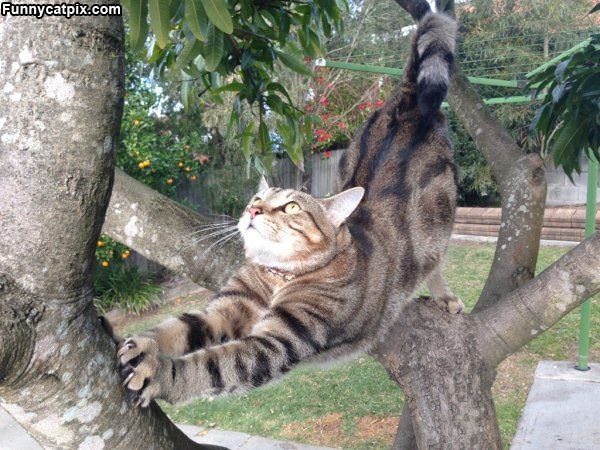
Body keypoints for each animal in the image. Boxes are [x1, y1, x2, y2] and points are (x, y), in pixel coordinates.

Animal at [113, 8, 460, 408]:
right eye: (257, 199)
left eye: (291, 207)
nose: (253, 212)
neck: (277, 275)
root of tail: (409, 99)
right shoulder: (227, 307)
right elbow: (181, 325)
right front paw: (146, 343)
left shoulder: (276, 342)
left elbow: (211, 366)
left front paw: (159, 371)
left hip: (441, 223)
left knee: (436, 261)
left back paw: (444, 295)